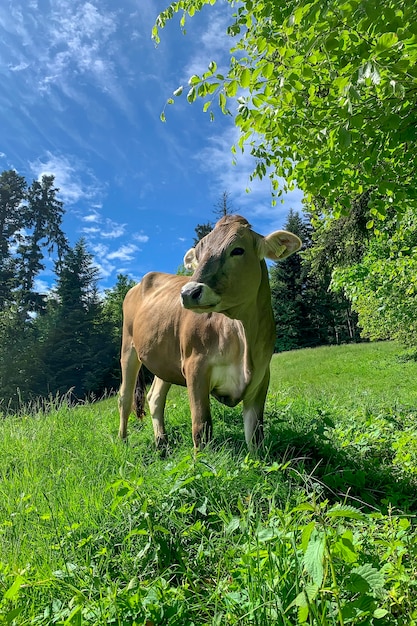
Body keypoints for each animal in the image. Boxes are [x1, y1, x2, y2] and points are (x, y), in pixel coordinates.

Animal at [117, 214, 300, 448]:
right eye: (198, 255)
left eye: (237, 250)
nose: (188, 293)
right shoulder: (195, 368)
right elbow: (201, 430)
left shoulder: (261, 377)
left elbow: (255, 435)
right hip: (128, 348)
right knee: (124, 397)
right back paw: (122, 442)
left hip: (164, 358)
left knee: (155, 397)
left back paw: (161, 443)